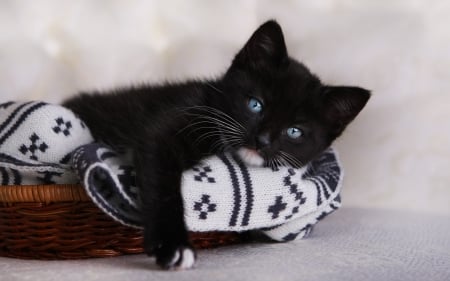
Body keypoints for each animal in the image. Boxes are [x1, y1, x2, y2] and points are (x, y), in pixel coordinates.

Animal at [65, 20, 370, 270]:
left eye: (294, 131)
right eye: (255, 104)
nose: (262, 140)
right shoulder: (163, 131)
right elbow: (163, 186)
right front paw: (173, 246)